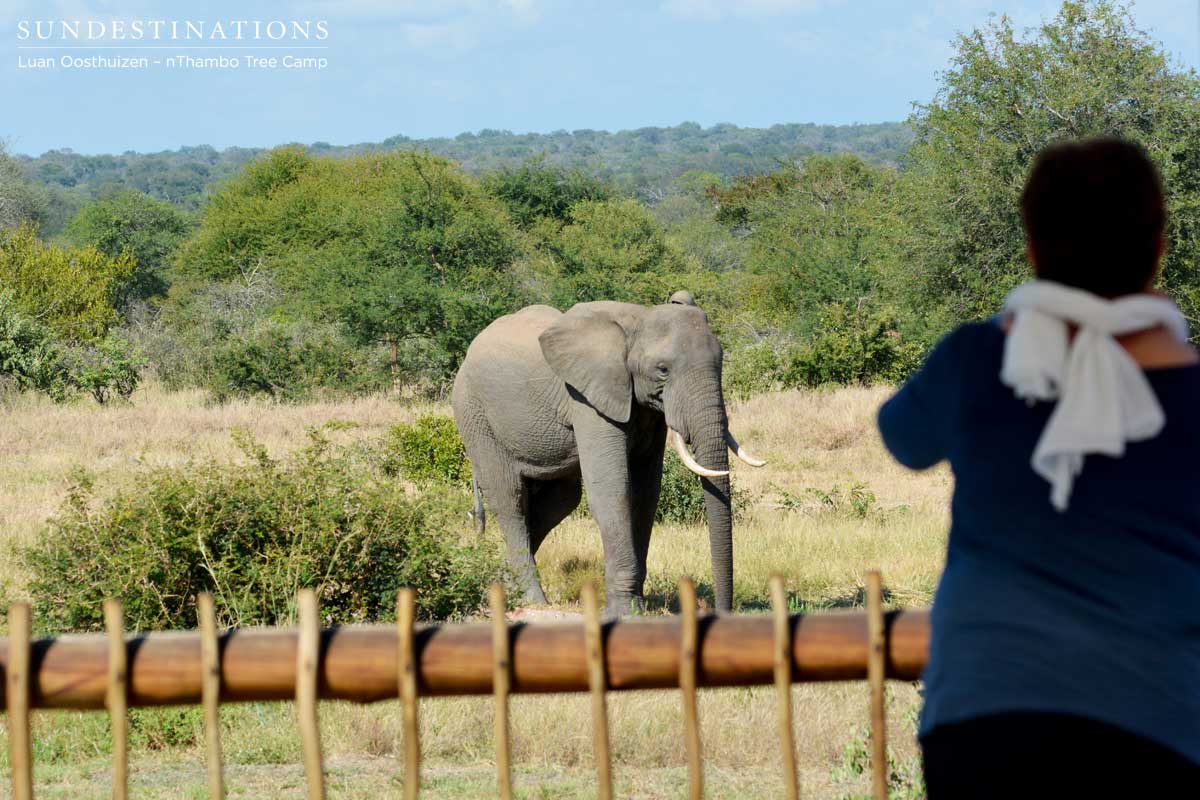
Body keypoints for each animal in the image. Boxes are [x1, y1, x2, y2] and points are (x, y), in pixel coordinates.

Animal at [451, 293, 765, 617]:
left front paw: (637, 606)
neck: (638, 319)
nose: (724, 612)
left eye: (721, 363)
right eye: (662, 369)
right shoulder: (586, 398)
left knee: (559, 500)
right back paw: (531, 600)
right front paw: (625, 613)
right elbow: (613, 491)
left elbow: (646, 494)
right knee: (509, 499)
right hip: (474, 414)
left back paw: (502, 584)